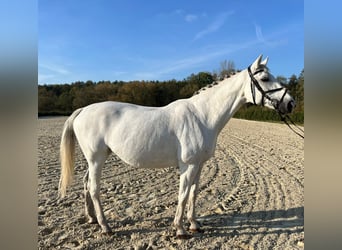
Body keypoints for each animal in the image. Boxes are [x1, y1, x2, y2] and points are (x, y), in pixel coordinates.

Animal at [58, 55, 294, 238]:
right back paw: (105, 226)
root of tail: (83, 110)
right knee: (94, 188)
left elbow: (194, 194)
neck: (202, 116)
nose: (290, 103)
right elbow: (182, 194)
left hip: (95, 159)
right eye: (265, 78)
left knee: (86, 183)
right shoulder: (187, 165)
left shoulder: (199, 165)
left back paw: (91, 219)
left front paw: (194, 224)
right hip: (96, 158)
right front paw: (180, 230)